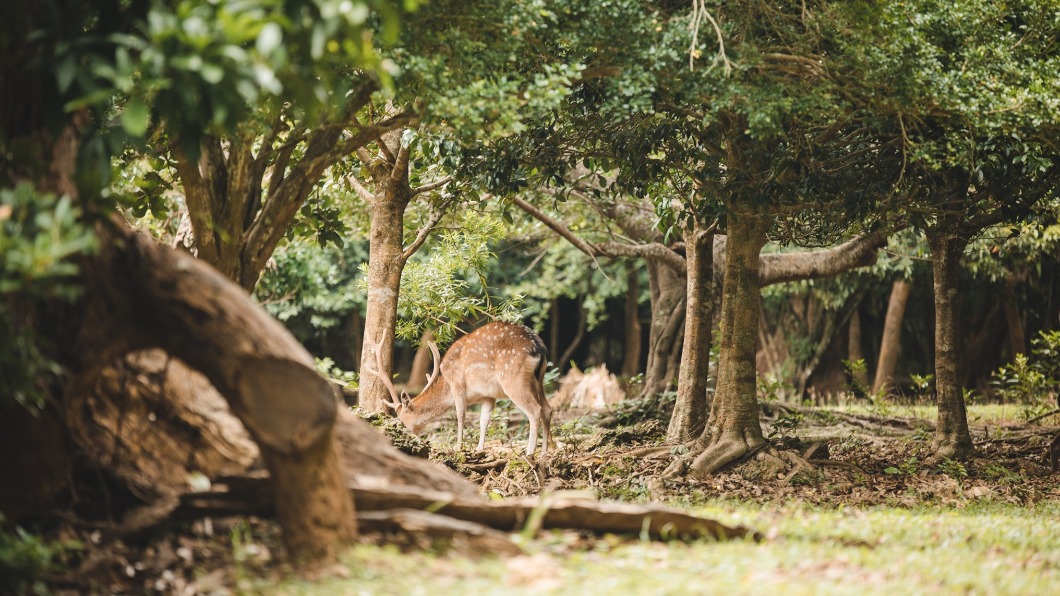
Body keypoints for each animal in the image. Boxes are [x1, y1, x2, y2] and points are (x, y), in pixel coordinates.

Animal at [365, 321, 553, 458]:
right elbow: (484, 420)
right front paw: (479, 449)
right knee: (548, 409)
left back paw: (530, 452)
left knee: (535, 410)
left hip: (513, 378)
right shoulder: (488, 396)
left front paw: (458, 446)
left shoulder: (457, 385)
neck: (446, 385)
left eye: (401, 421)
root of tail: (540, 349)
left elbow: (460, 415)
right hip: (539, 380)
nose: (405, 436)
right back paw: (544, 453)